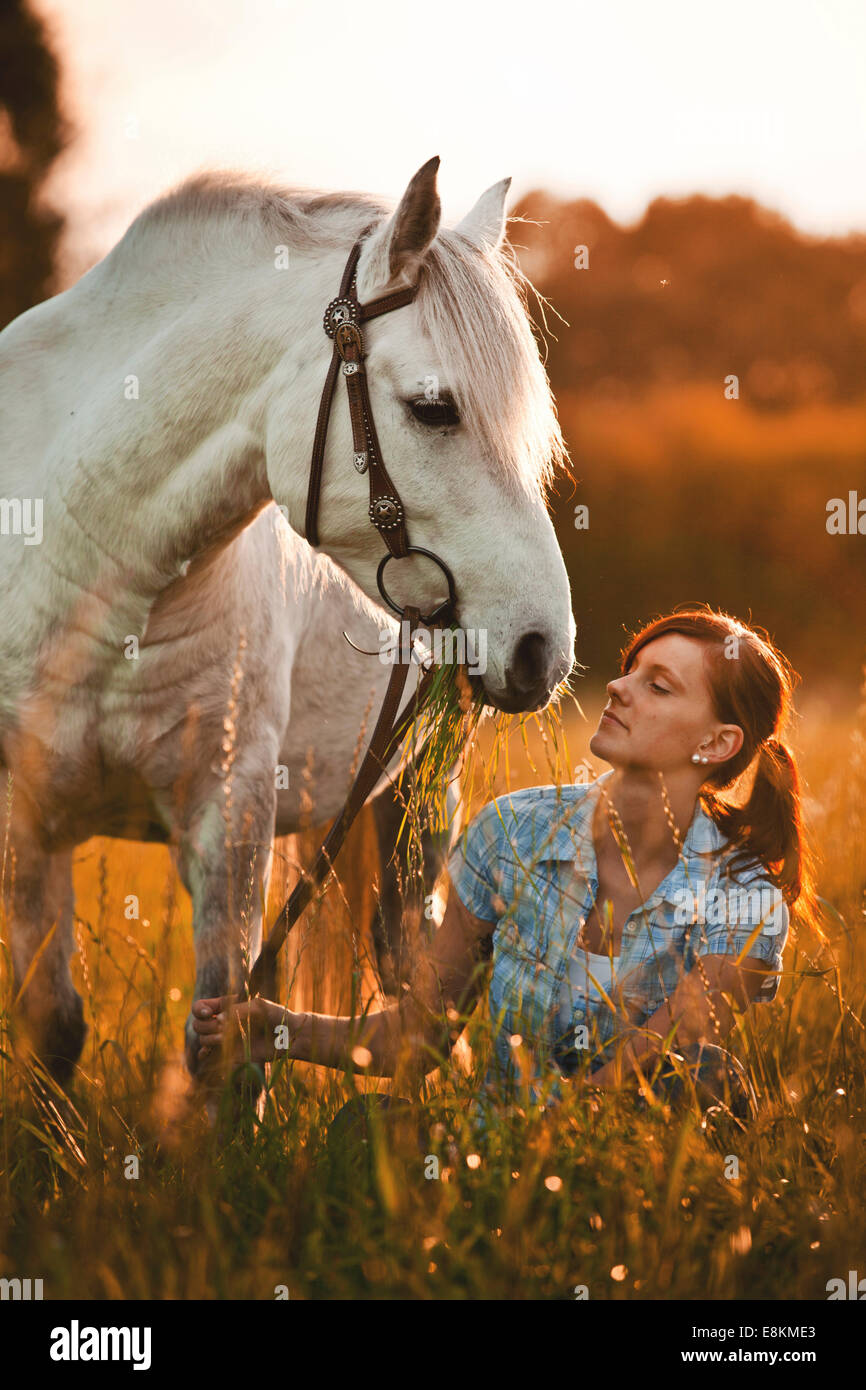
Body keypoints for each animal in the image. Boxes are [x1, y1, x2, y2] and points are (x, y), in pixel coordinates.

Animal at [0, 157, 575, 1078]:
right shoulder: (28, 818)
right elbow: (53, 1028)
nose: (541, 649)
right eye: (434, 408)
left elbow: (227, 1049)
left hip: (419, 803)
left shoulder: (229, 818)